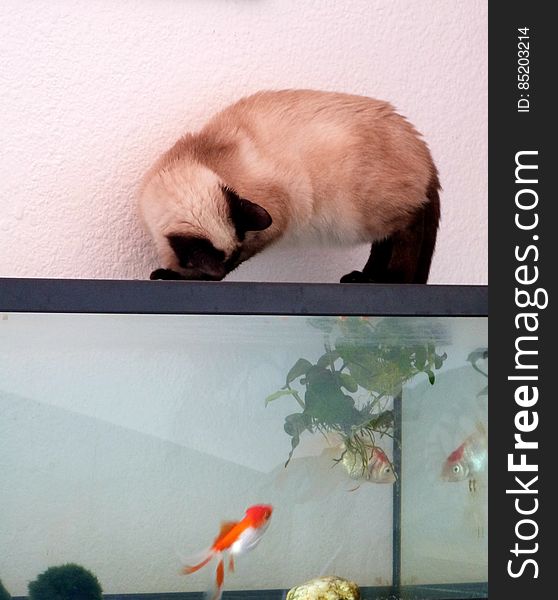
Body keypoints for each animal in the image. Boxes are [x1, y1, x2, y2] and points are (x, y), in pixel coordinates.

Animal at [140, 89, 442, 284]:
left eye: (232, 262)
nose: (219, 274)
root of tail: (423, 148)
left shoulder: (272, 220)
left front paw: (173, 276)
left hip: (367, 214)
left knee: (406, 230)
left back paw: (390, 280)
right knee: (384, 243)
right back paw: (366, 277)